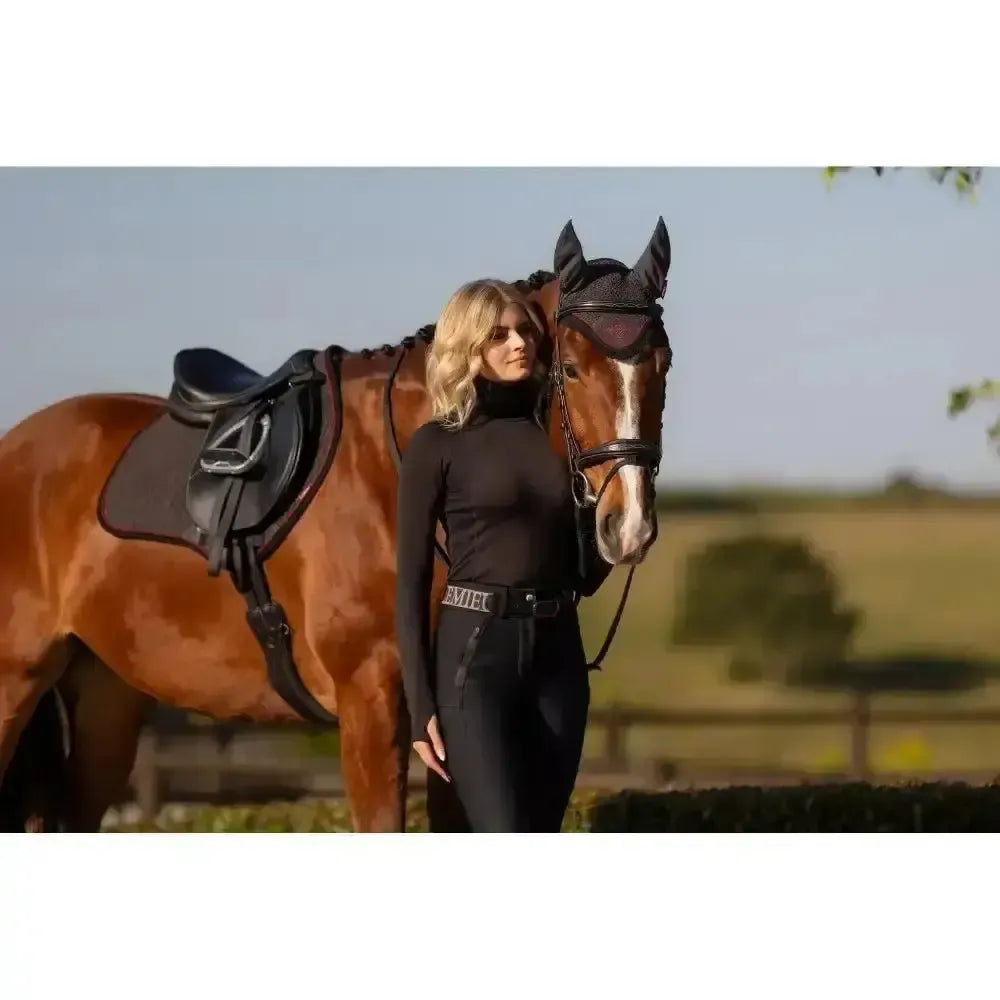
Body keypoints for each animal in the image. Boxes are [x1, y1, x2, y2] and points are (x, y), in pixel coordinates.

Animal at [0, 218, 673, 832]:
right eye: (572, 368)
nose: (629, 525)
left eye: (663, 364)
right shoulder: (372, 710)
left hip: (104, 701)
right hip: (17, 686)